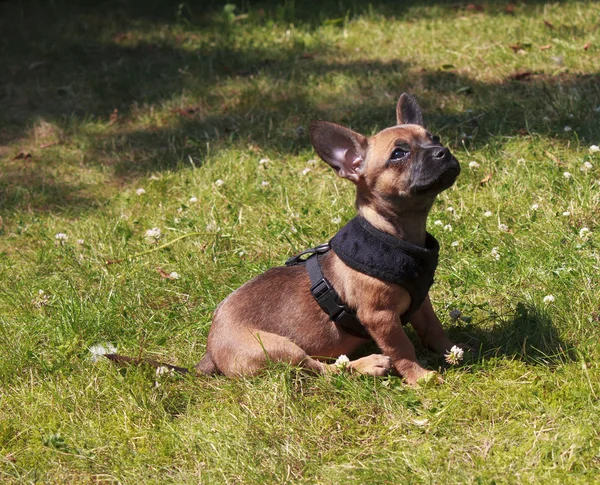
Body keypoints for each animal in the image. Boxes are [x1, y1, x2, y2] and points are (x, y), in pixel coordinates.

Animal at [195, 92, 462, 384]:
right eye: (398, 154)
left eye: (435, 138)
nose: (443, 152)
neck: (394, 236)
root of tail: (211, 351)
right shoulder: (380, 318)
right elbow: (403, 348)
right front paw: (420, 377)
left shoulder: (421, 302)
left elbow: (434, 329)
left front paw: (455, 350)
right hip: (280, 348)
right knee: (324, 369)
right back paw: (367, 365)